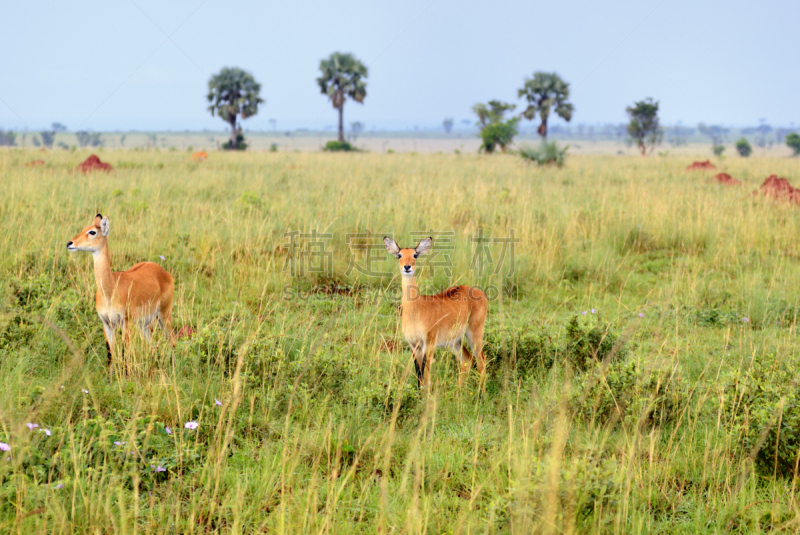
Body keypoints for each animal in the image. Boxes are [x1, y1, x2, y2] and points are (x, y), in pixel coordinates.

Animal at [68, 216, 176, 366]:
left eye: (92, 231)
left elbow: (125, 354)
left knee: (173, 341)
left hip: (164, 315)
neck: (111, 288)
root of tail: (163, 271)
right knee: (153, 345)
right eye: (84, 228)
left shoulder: (126, 322)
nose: (70, 243)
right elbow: (110, 354)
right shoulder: (106, 323)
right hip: (144, 324)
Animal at [382, 237, 488, 392]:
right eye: (399, 255)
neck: (416, 310)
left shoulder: (429, 344)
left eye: (415, 255)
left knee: (481, 361)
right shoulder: (414, 346)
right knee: (467, 360)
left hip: (474, 334)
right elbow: (419, 376)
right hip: (454, 341)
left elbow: (426, 377)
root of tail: (477, 291)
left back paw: (482, 394)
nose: (407, 267)